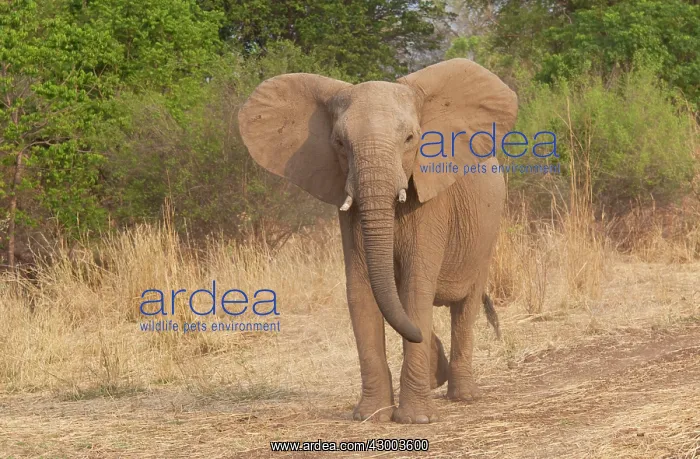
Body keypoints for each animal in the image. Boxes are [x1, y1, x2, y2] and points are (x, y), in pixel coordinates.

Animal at [238, 58, 517, 424]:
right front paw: (371, 416)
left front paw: (414, 419)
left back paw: (464, 395)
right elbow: (361, 291)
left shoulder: (431, 201)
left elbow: (415, 289)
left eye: (411, 138)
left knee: (464, 306)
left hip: (487, 232)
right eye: (340, 143)